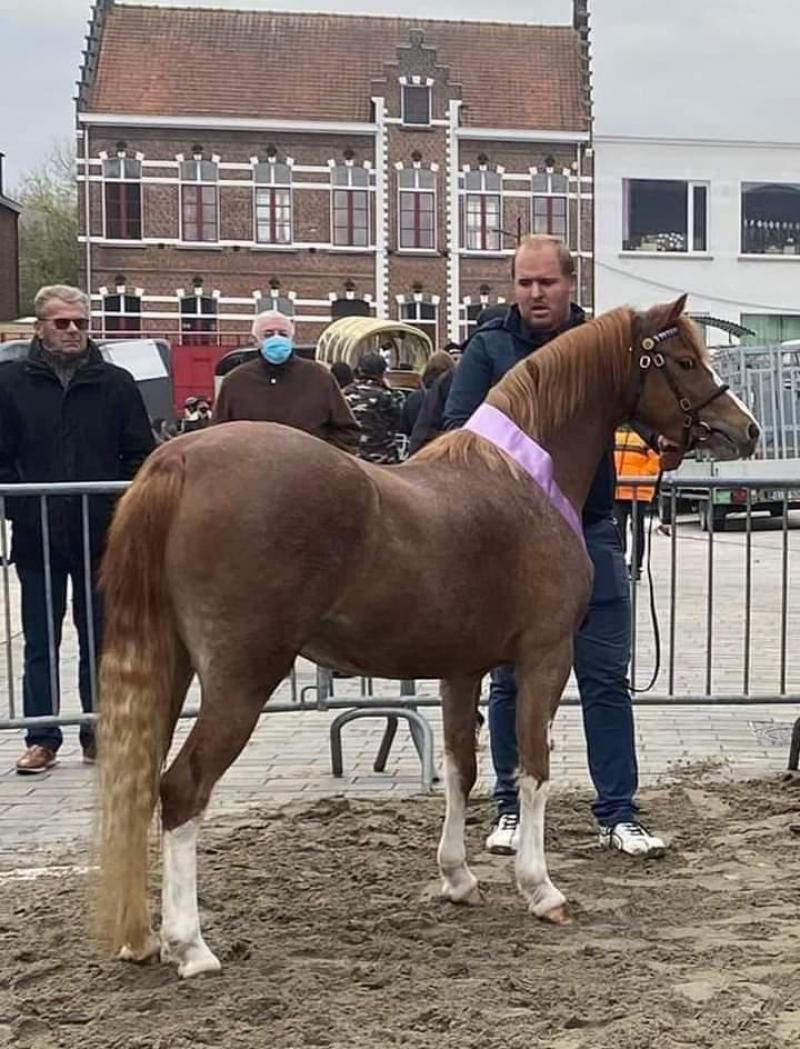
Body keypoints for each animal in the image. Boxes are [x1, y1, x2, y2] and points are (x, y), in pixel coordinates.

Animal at [93, 295, 759, 973]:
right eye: (685, 361)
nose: (747, 429)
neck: (524, 480)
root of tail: (178, 459)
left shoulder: (462, 669)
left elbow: (461, 767)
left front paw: (457, 877)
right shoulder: (545, 657)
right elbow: (534, 769)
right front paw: (540, 888)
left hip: (172, 669)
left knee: (142, 784)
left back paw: (143, 937)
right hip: (241, 679)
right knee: (182, 790)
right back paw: (190, 945)